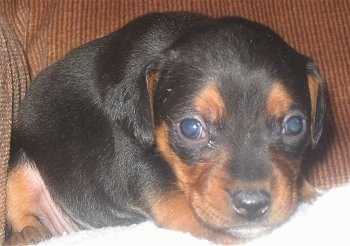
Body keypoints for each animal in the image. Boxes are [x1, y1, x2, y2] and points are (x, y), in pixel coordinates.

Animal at [4, 11, 326, 244]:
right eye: (191, 128)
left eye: (294, 125)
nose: (253, 205)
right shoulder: (138, 162)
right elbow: (181, 204)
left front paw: (311, 194)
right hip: (18, 165)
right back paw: (29, 234)